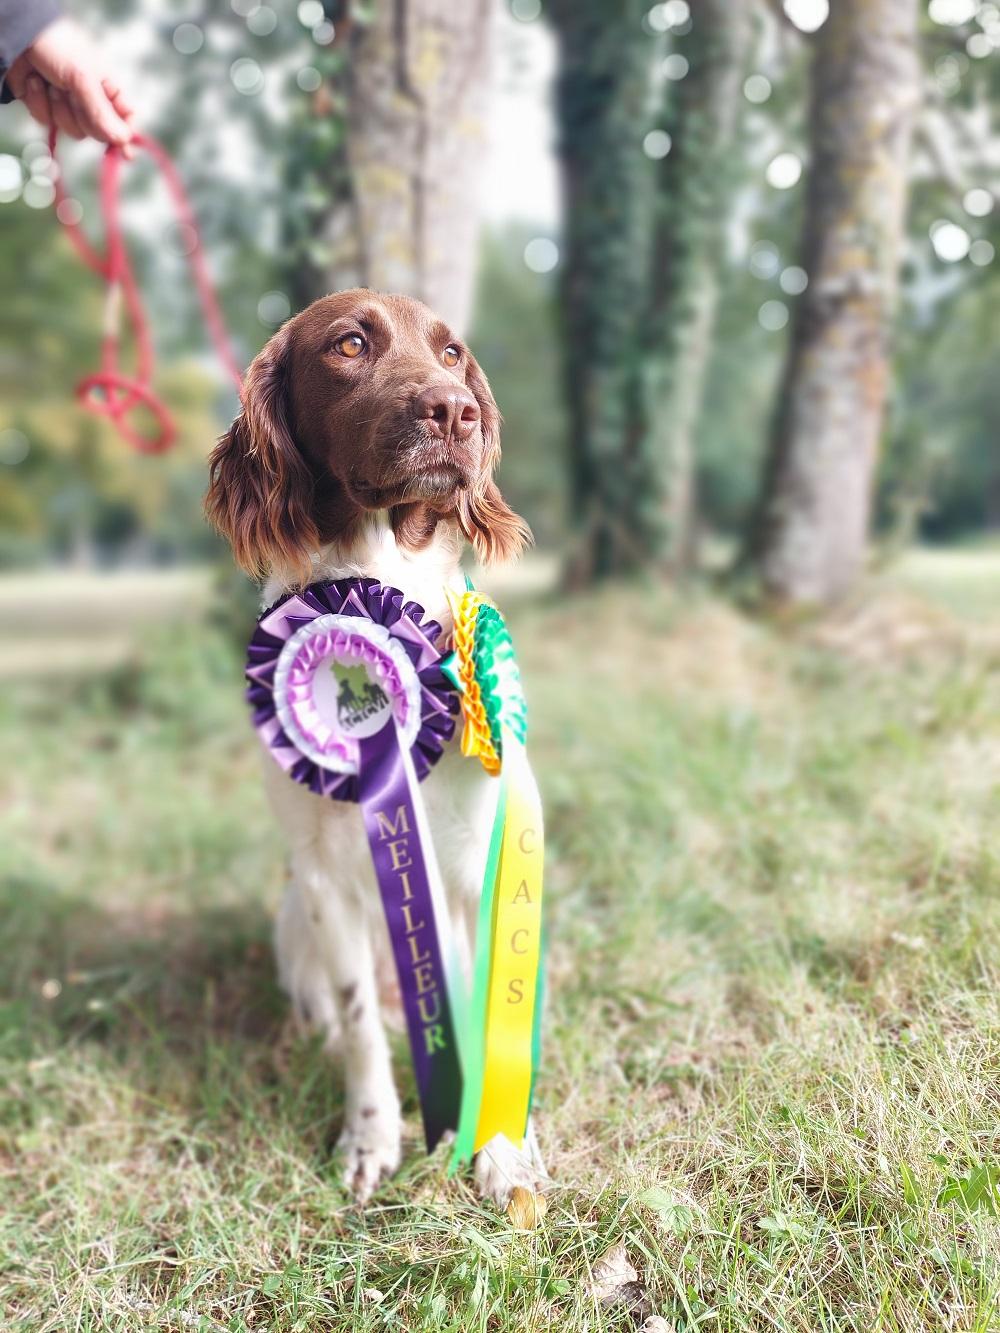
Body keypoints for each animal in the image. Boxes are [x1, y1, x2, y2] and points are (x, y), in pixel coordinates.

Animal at [205, 286, 549, 1205]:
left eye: (453, 351)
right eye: (350, 344)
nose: (456, 410)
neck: (379, 582)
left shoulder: (472, 864)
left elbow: (481, 1007)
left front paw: (500, 1151)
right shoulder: (327, 875)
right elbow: (360, 1022)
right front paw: (371, 1136)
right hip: (295, 914)